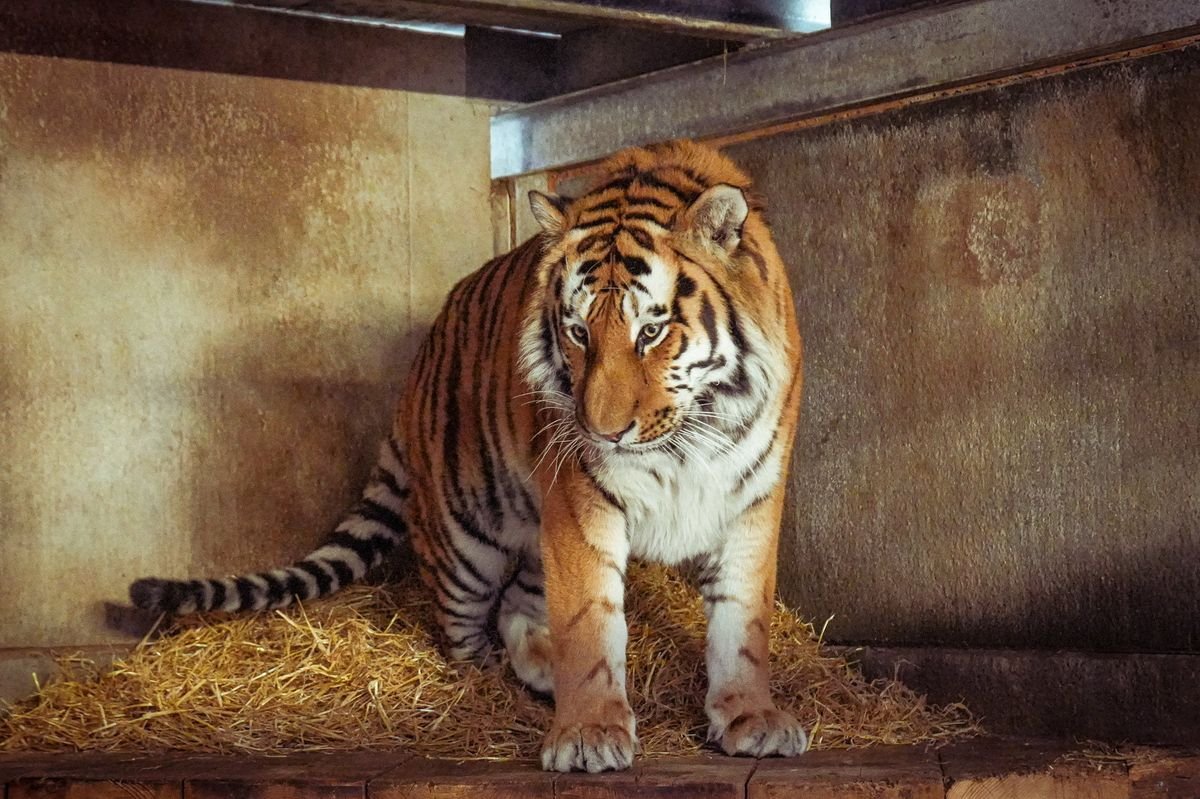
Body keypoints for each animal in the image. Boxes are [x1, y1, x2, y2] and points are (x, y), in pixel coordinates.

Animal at [129, 139, 807, 772]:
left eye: (652, 331)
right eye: (578, 333)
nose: (602, 432)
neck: (688, 438)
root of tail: (415, 373)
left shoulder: (752, 497)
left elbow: (743, 621)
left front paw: (752, 718)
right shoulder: (580, 502)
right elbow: (589, 622)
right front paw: (589, 732)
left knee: (517, 604)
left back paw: (541, 668)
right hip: (465, 540)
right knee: (465, 630)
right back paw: (496, 679)